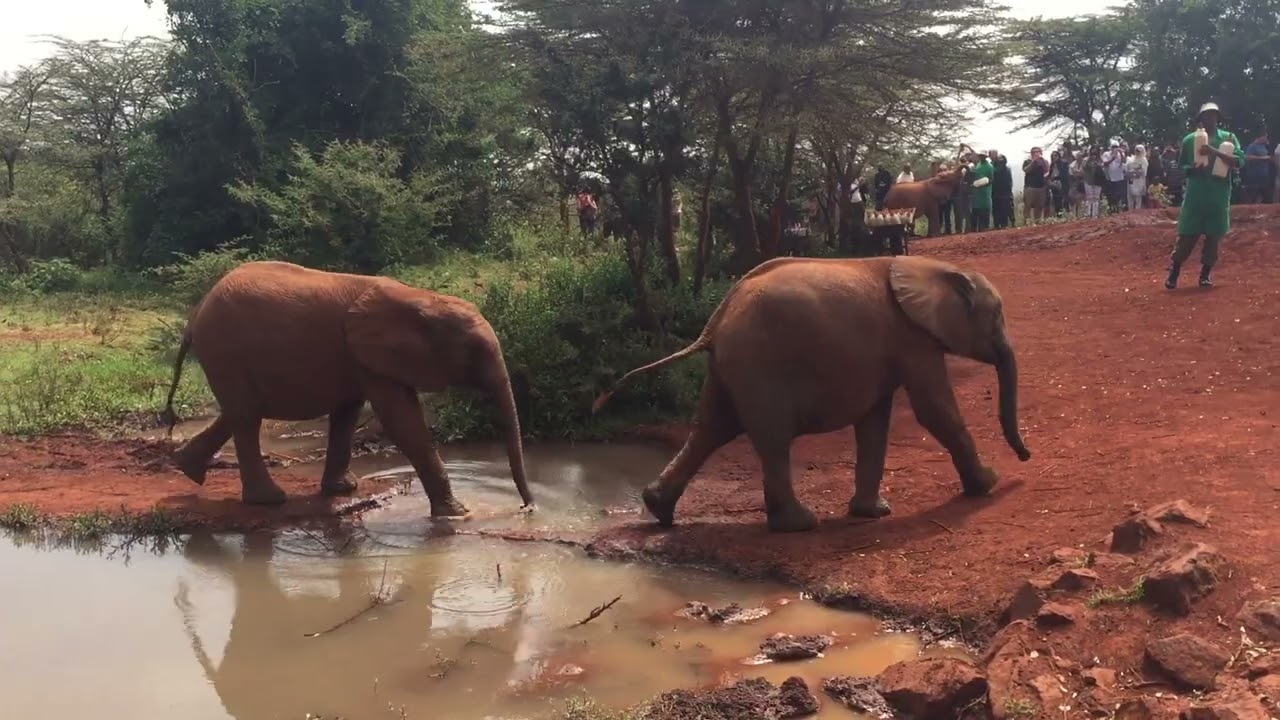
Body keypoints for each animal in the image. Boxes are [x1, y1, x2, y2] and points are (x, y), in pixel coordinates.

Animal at [161, 260, 535, 515]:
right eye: (474, 352)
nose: (527, 509)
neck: (418, 297)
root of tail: (196, 312)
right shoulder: (370, 357)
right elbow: (401, 419)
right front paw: (458, 514)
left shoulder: (357, 358)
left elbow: (347, 412)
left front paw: (342, 490)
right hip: (224, 349)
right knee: (246, 415)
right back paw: (269, 500)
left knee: (240, 411)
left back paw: (189, 469)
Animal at [592, 255, 1031, 533]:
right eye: (997, 316)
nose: (1025, 458)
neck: (934, 268)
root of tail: (716, 318)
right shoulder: (914, 340)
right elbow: (933, 410)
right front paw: (988, 484)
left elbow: (875, 422)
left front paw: (873, 514)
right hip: (760, 364)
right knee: (770, 439)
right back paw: (800, 525)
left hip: (732, 367)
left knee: (710, 429)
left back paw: (658, 510)